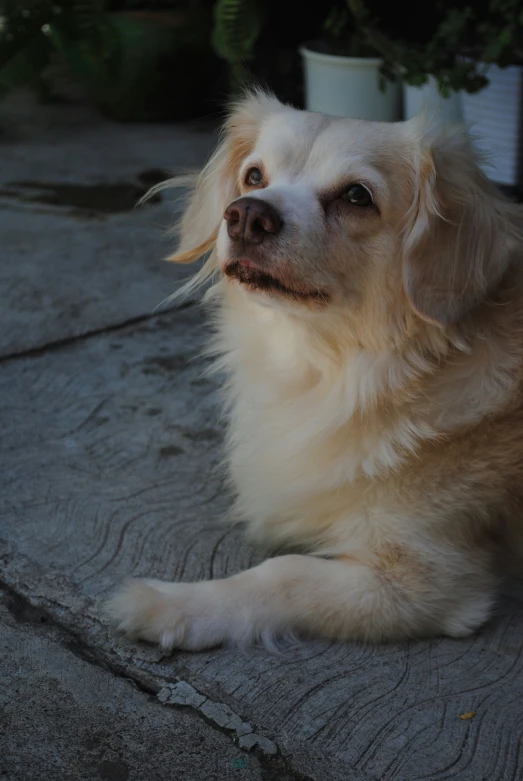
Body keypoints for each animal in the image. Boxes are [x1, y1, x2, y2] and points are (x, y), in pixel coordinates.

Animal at [107, 91, 523, 652]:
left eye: (356, 196)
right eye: (254, 176)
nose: (245, 215)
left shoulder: (429, 579)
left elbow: (281, 574)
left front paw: (174, 606)